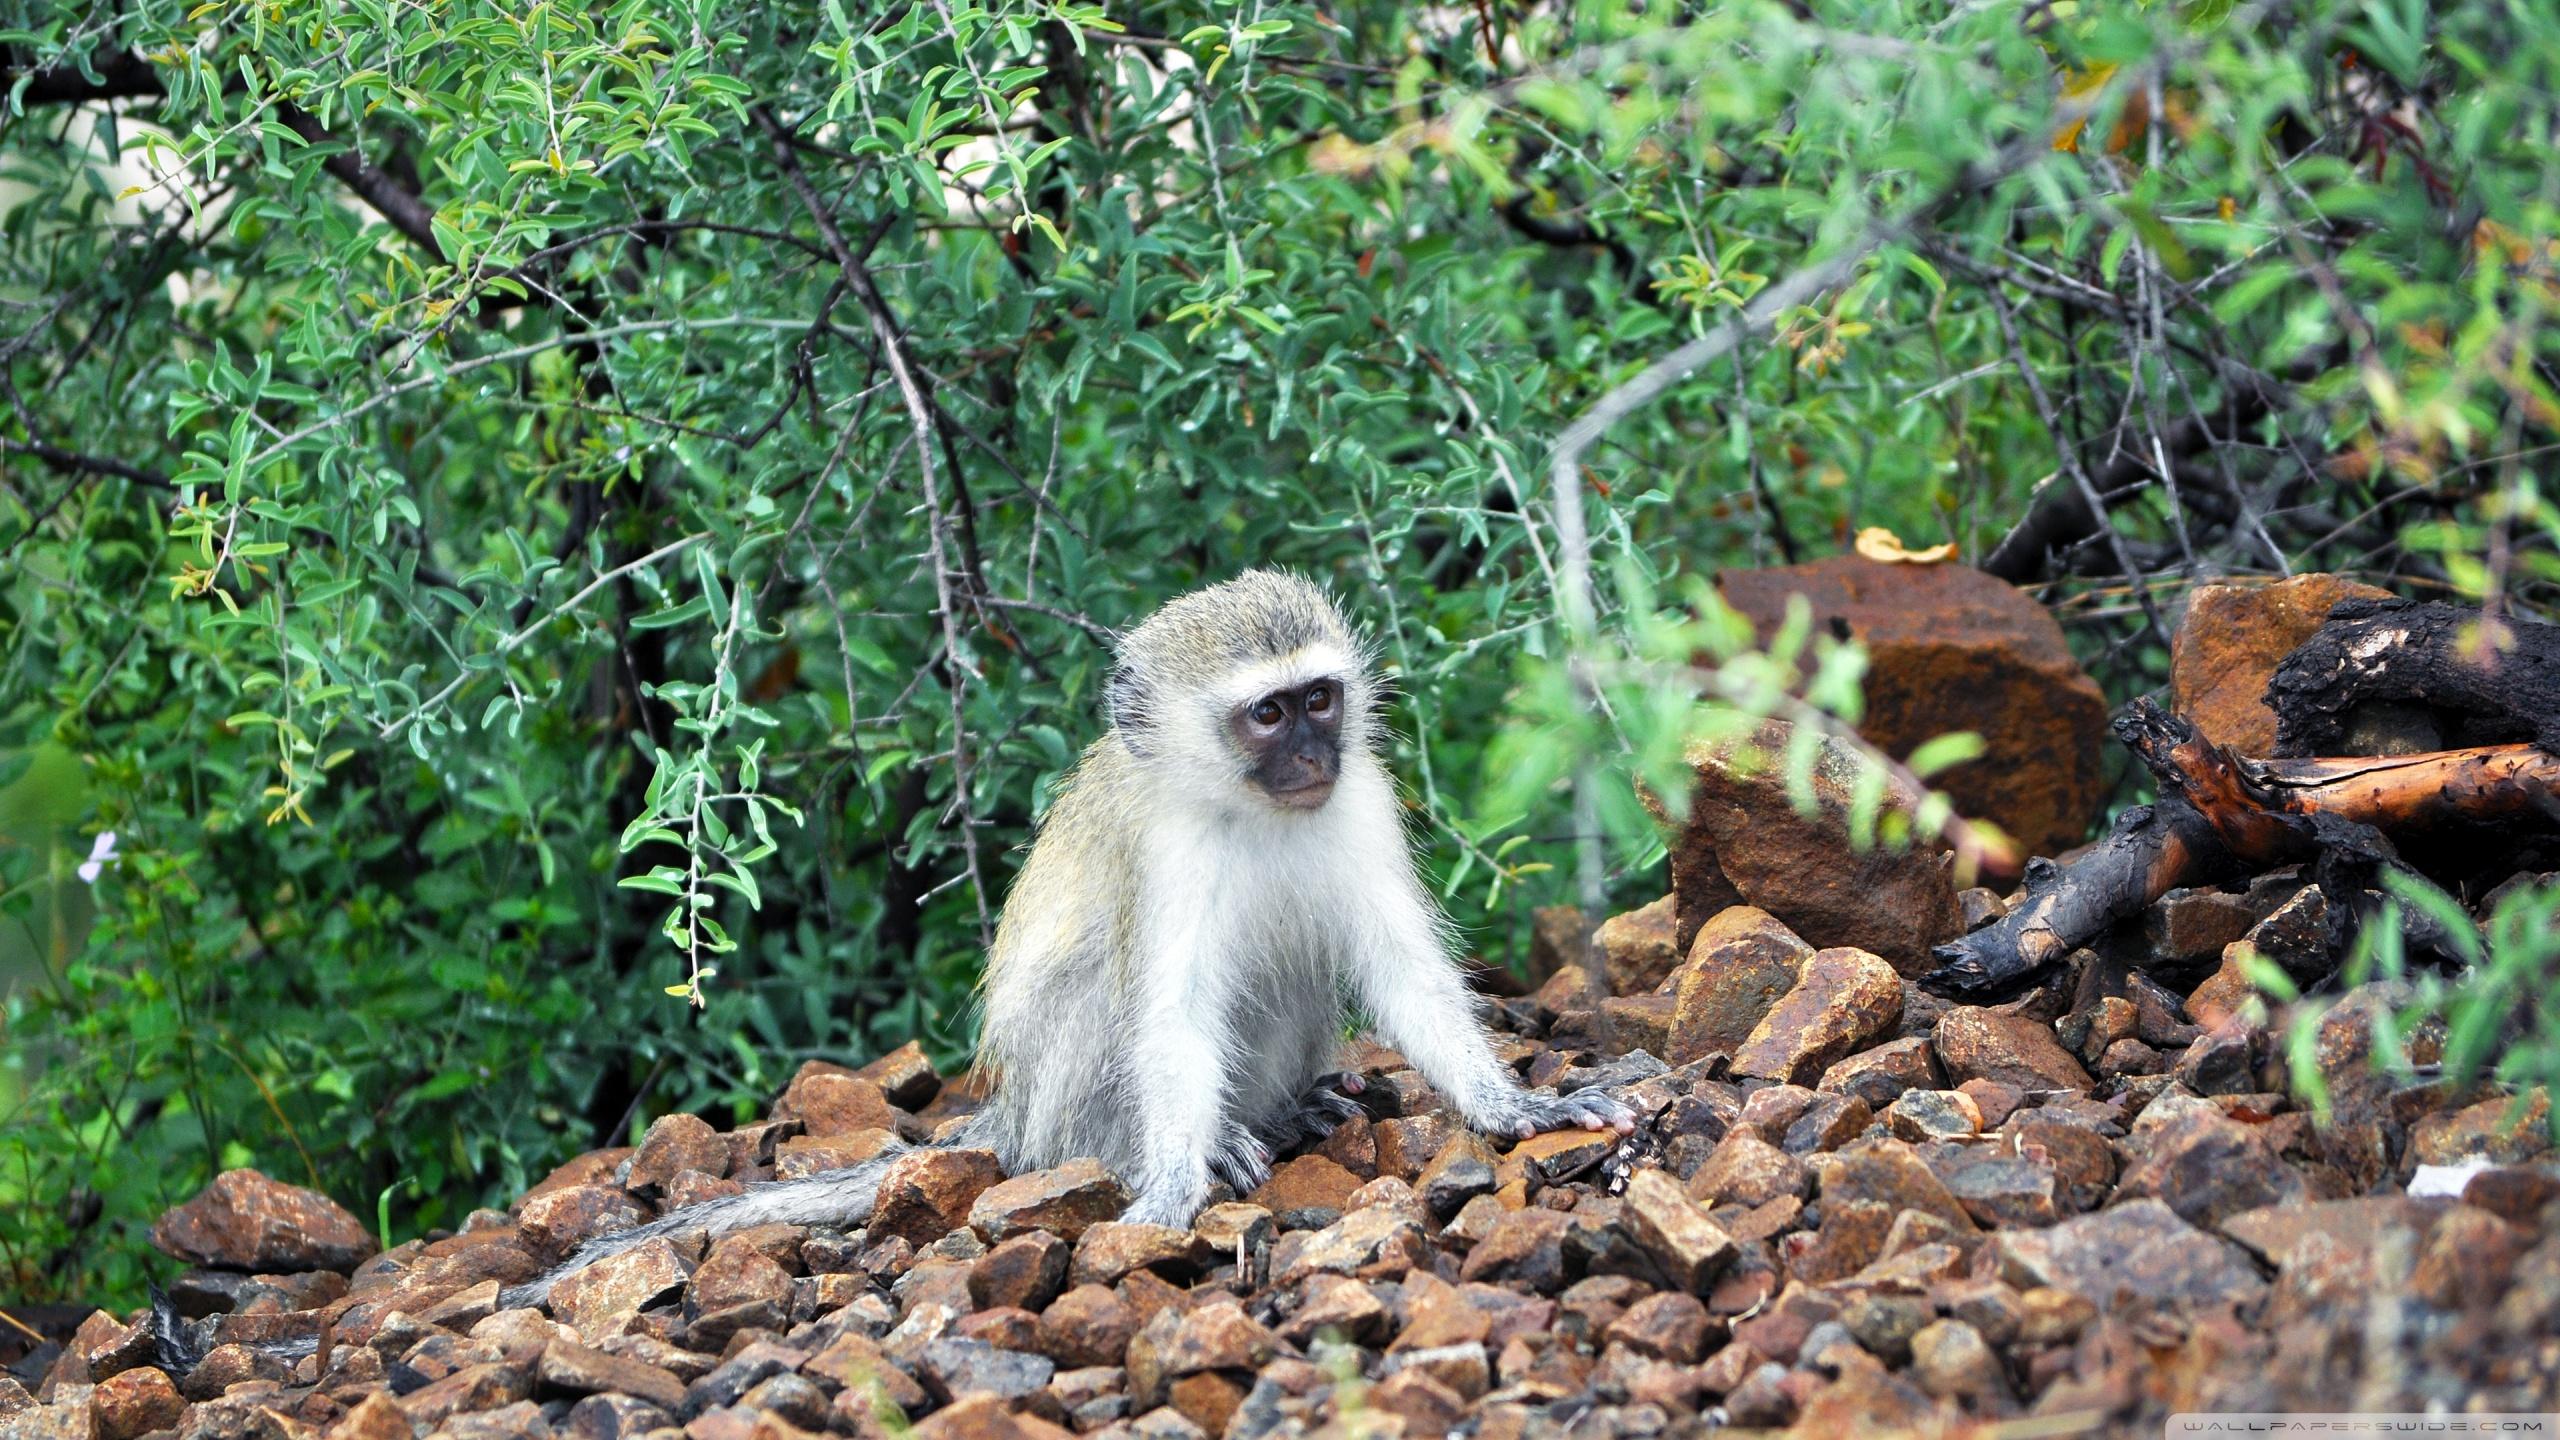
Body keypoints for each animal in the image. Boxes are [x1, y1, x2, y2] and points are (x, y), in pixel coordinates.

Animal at [497, 570, 1631, 1309]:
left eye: (1320, 699)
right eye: (1267, 715)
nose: (1314, 754)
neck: (1249, 810)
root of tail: (1016, 1122)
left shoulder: (1360, 800)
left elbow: (1401, 970)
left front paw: (1515, 1109)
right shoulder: (1164, 852)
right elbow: (1169, 1016)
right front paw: (1172, 1182)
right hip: (1056, 1103)